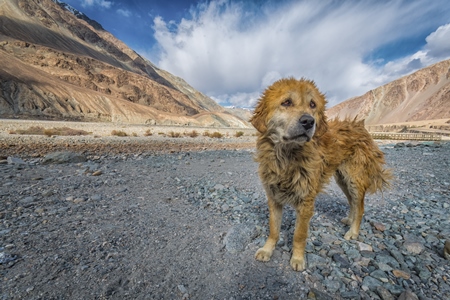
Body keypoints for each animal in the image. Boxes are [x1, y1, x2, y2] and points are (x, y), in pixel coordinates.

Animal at [250, 78, 390, 272]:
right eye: (286, 102)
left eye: (312, 105)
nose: (308, 121)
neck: (287, 156)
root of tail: (360, 127)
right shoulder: (273, 196)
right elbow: (273, 229)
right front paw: (267, 249)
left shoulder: (306, 201)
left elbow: (299, 234)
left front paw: (298, 259)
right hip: (342, 179)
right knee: (352, 202)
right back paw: (349, 219)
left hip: (354, 177)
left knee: (360, 206)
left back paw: (353, 232)